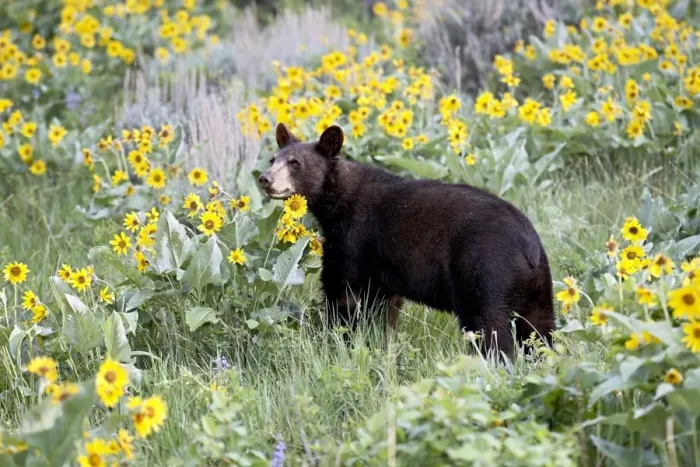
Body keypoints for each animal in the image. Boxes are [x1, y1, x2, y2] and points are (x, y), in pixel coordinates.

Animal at [258, 123, 555, 355]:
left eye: (295, 163)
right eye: (273, 159)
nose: (265, 179)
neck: (337, 204)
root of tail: (529, 247)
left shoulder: (355, 241)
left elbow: (344, 294)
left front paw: (340, 341)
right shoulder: (383, 273)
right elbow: (385, 309)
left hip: (486, 271)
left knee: (490, 327)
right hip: (539, 288)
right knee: (540, 330)